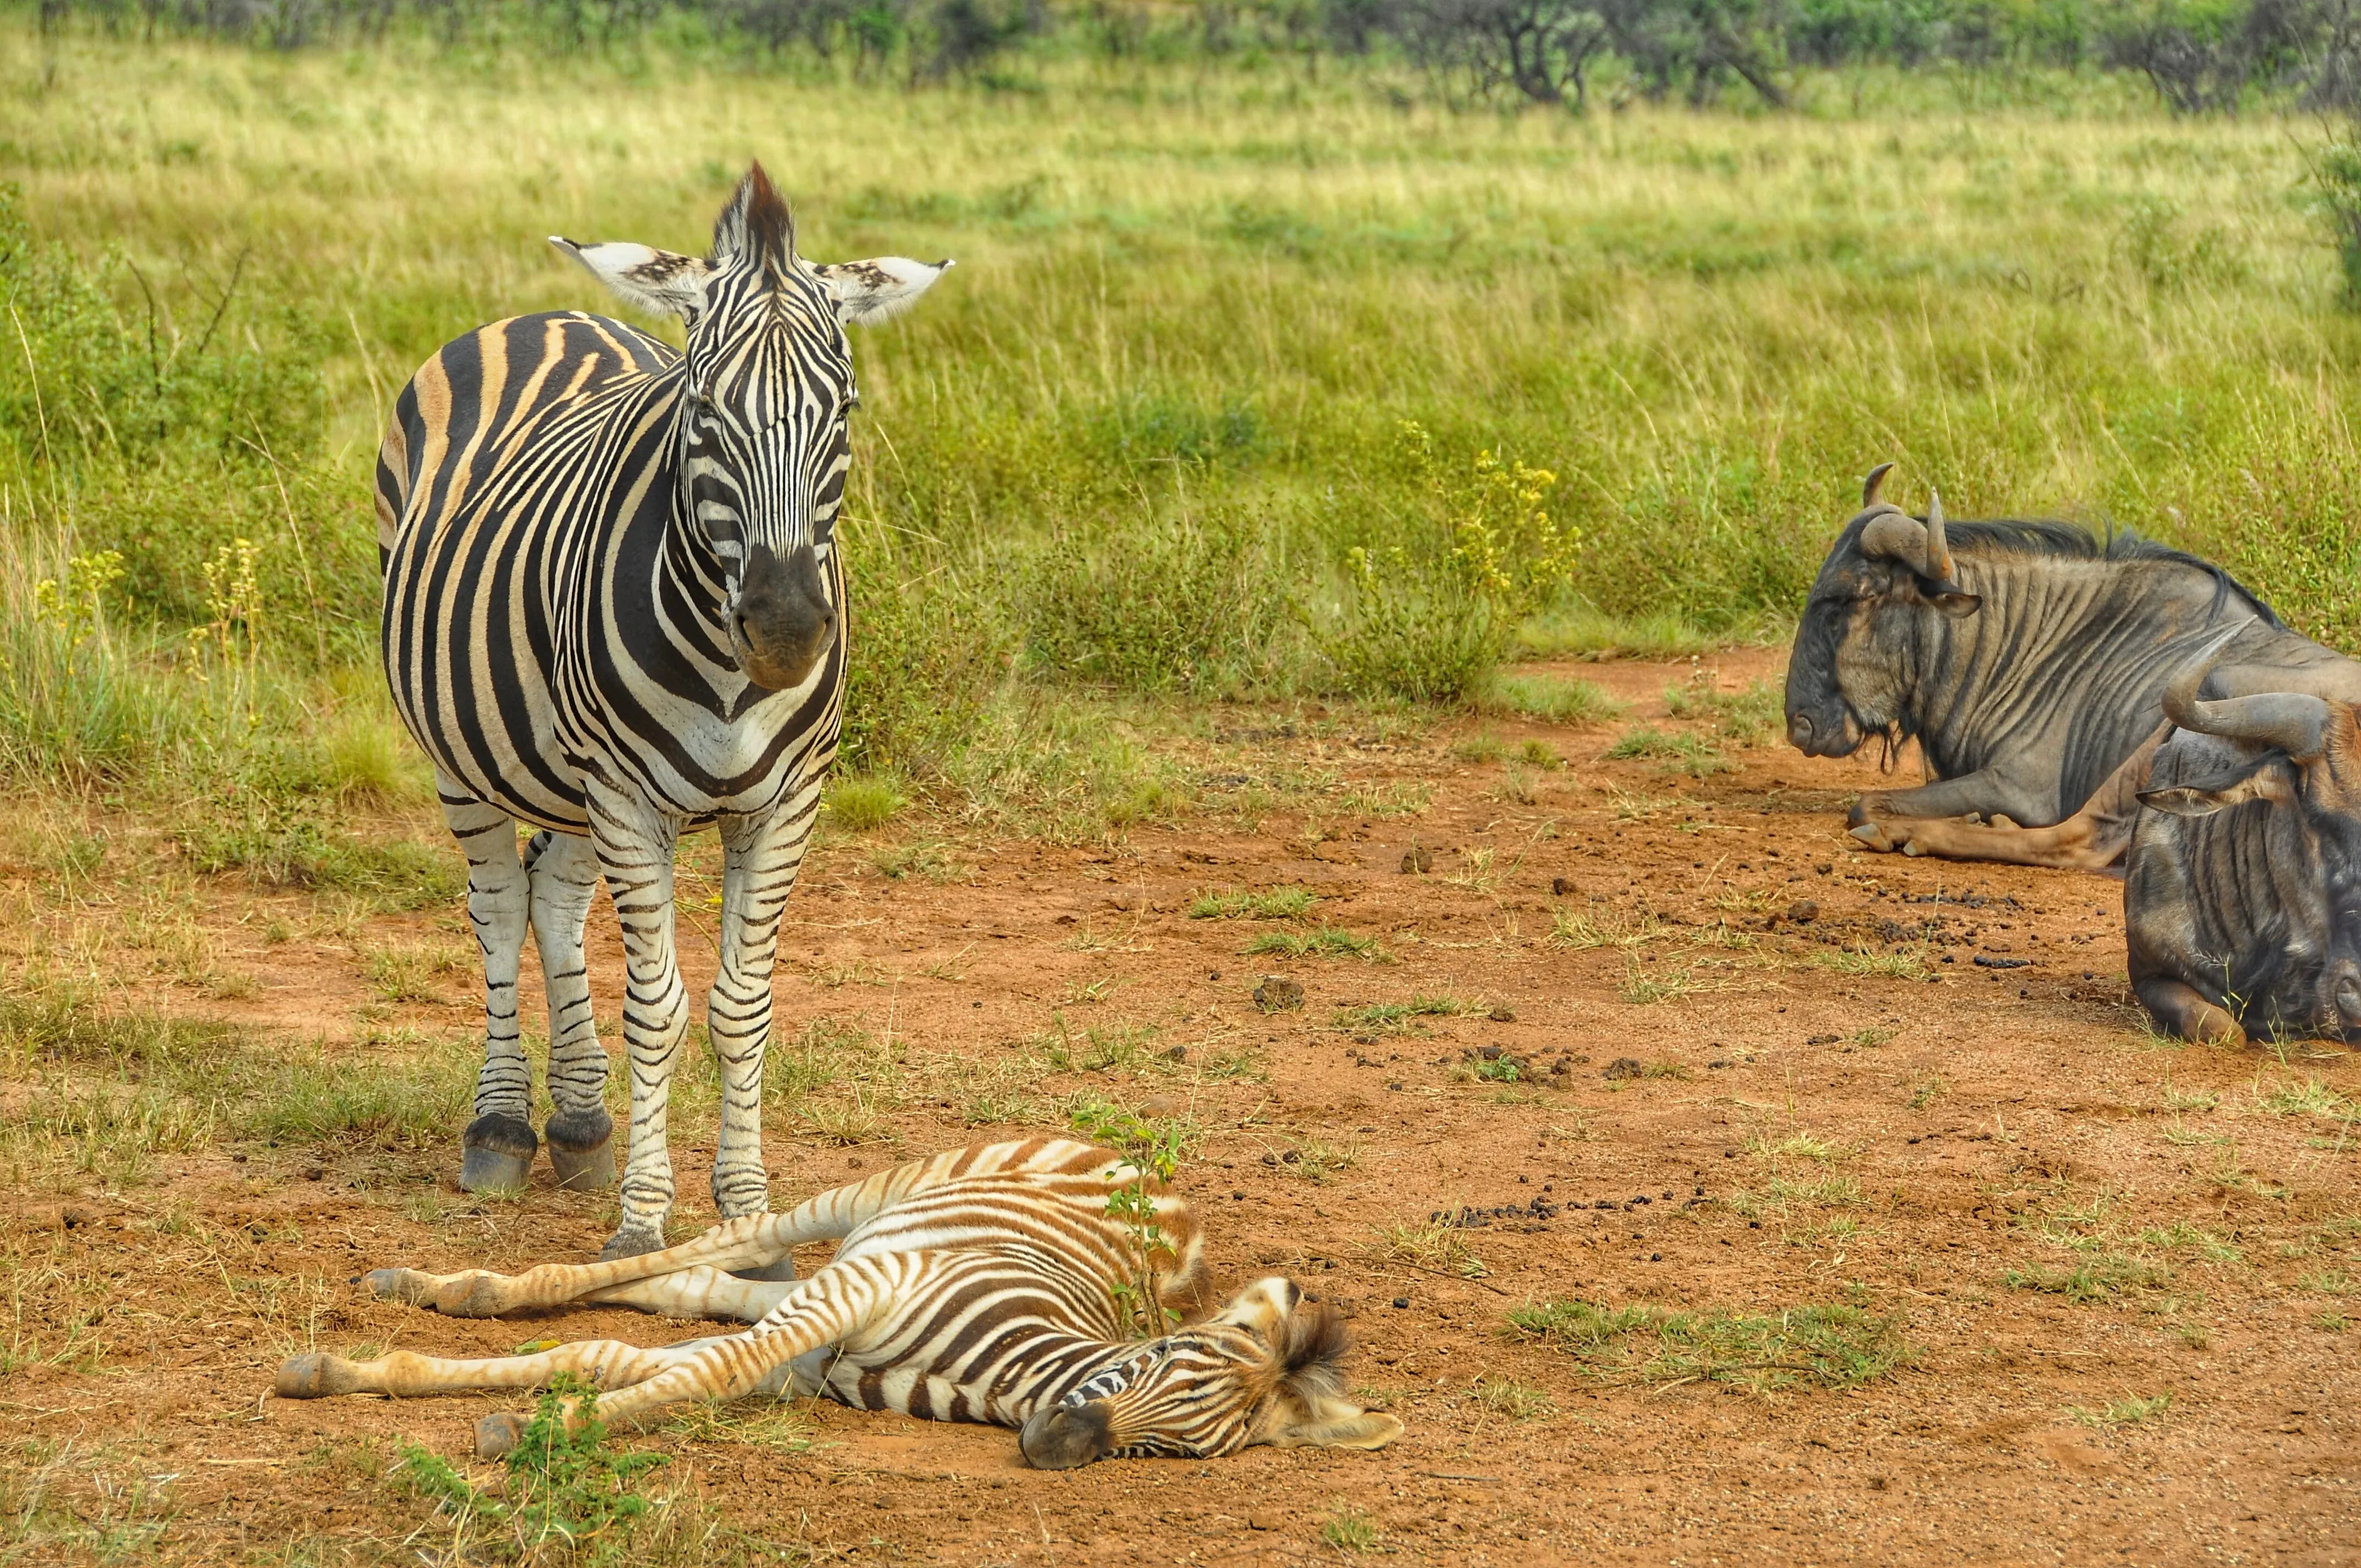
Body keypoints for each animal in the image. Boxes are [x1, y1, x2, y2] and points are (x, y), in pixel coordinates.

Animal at [272, 1138, 1404, 1468]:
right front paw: (524, 1426)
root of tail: (1151, 1173)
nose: (1059, 1447)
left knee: (695, 1284)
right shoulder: (860, 1289)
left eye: (1173, 1452)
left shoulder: (802, 1367)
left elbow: (616, 1359)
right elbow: (687, 1366)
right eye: (1154, 1360)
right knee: (710, 1249)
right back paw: (448, 1286)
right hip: (876, 1201)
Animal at [376, 163, 949, 1263]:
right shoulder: (628, 797)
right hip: (470, 757)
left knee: (553, 902)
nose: (786, 626)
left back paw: (580, 1122)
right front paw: (644, 1221)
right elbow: (657, 1008)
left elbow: (739, 1007)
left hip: (566, 773)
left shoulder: (785, 802)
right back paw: (502, 1127)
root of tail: (550, 315)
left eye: (845, 411)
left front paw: (748, 1215)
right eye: (705, 412)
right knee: (499, 906)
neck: (728, 671)